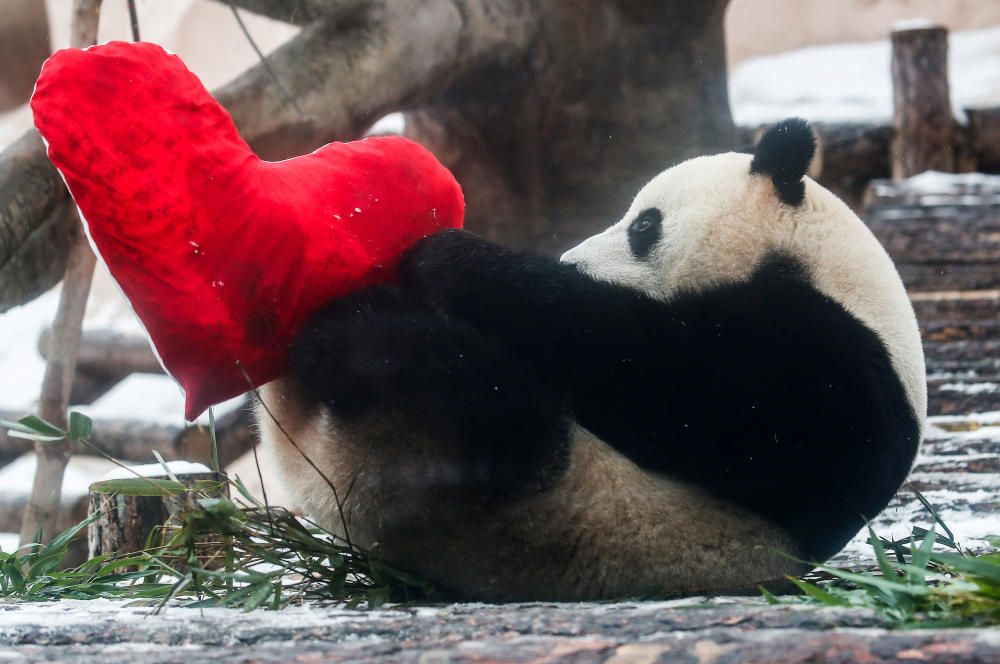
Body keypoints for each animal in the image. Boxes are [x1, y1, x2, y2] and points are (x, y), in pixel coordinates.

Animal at [256, 119, 920, 600]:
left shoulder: (836, 366)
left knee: (478, 406)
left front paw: (451, 257)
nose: (570, 260)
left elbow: (680, 383)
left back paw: (347, 328)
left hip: (543, 488)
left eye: (644, 224)